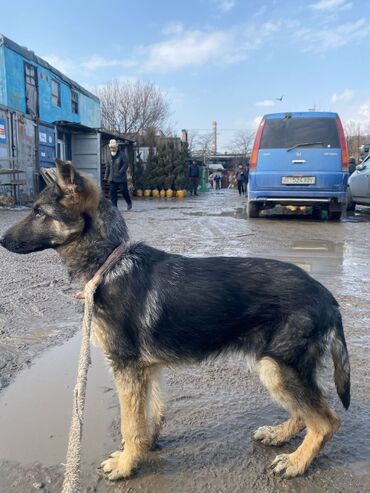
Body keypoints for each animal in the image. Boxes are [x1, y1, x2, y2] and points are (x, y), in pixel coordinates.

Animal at [0, 160, 350, 476]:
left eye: (39, 213)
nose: (2, 240)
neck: (109, 262)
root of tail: (327, 297)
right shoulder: (146, 368)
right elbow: (150, 412)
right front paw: (144, 447)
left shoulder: (127, 367)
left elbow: (129, 422)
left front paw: (127, 463)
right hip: (276, 367)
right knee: (308, 414)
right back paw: (279, 435)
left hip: (277, 368)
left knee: (327, 421)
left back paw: (296, 462)